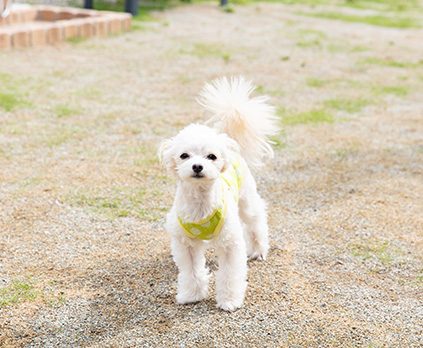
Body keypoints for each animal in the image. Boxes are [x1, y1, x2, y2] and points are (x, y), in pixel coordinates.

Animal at [157, 76, 280, 310]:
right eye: (184, 155)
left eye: (211, 156)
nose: (197, 166)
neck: (200, 204)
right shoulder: (185, 245)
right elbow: (192, 272)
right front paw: (191, 295)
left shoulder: (231, 243)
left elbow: (229, 274)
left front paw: (229, 300)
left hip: (247, 200)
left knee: (256, 221)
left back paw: (259, 249)